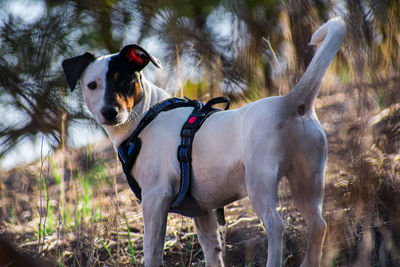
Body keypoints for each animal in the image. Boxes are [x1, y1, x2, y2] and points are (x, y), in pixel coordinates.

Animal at [62, 17, 346, 266]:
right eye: (92, 85)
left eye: (124, 80)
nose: (110, 112)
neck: (145, 116)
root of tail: (290, 102)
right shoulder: (203, 212)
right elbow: (212, 250)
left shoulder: (155, 198)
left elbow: (152, 251)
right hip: (308, 180)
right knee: (318, 225)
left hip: (260, 183)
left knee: (276, 227)